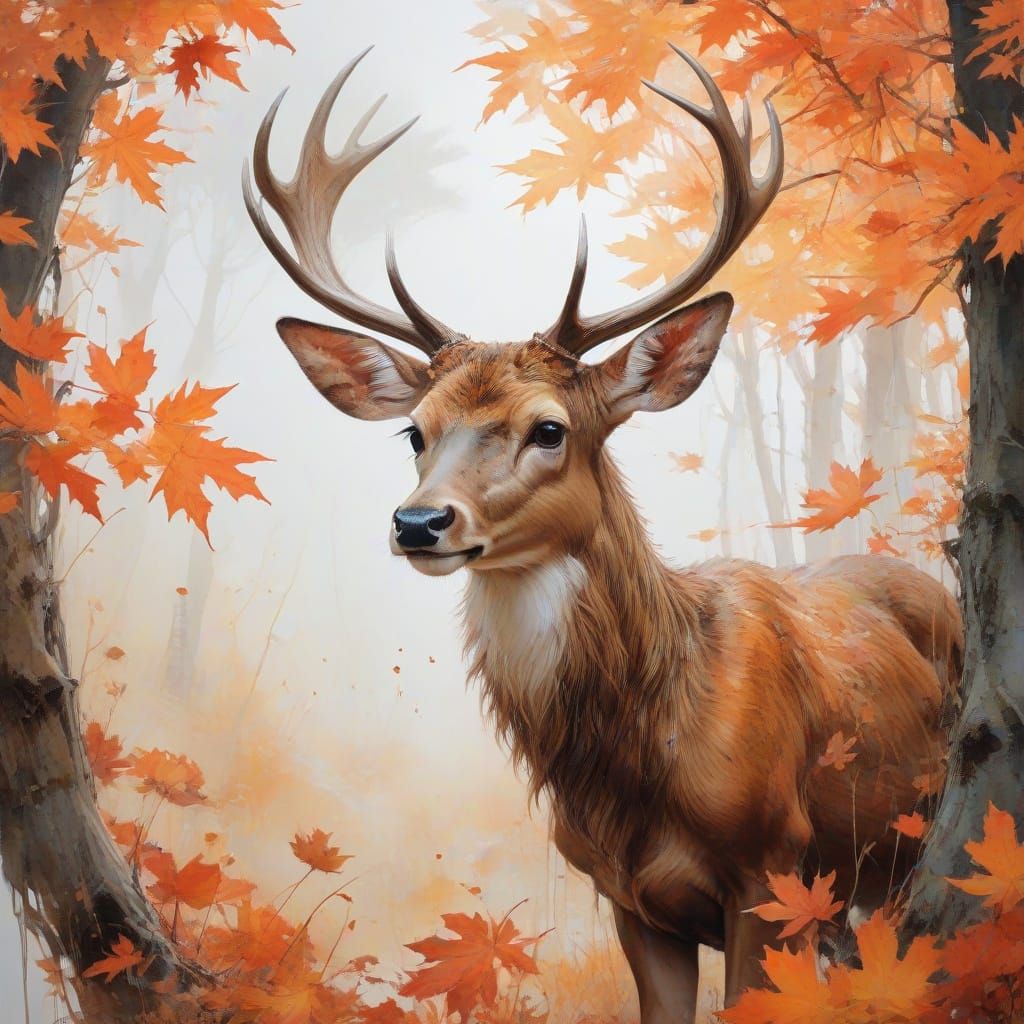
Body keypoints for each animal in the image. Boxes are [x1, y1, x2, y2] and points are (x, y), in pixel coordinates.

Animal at [244, 45, 962, 1020]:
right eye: (415, 433)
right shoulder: (626, 897)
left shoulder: (773, 868)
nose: (420, 522)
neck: (637, 758)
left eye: (549, 429)